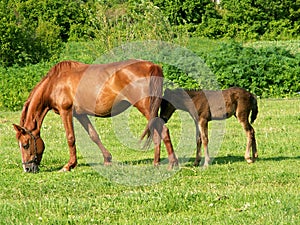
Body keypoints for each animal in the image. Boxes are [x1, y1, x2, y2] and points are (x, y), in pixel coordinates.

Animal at [12, 59, 178, 172]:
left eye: (25, 144)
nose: (27, 169)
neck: (55, 83)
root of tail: (152, 66)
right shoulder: (80, 115)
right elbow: (94, 135)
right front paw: (107, 159)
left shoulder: (66, 112)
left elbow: (70, 138)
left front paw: (69, 165)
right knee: (156, 132)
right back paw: (156, 163)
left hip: (145, 107)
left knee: (163, 130)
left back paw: (172, 163)